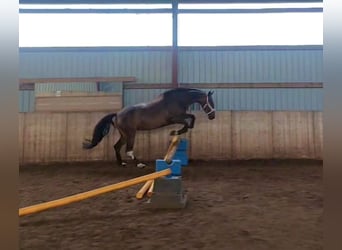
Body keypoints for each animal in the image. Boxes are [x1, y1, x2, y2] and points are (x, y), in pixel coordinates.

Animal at [83, 88, 215, 168]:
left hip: (124, 134)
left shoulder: (179, 117)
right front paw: (175, 132)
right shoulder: (174, 118)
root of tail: (117, 114)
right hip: (131, 133)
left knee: (117, 147)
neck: (178, 100)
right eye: (211, 103)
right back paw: (140, 164)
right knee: (128, 150)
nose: (212, 116)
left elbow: (192, 118)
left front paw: (178, 131)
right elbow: (189, 121)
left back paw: (121, 163)